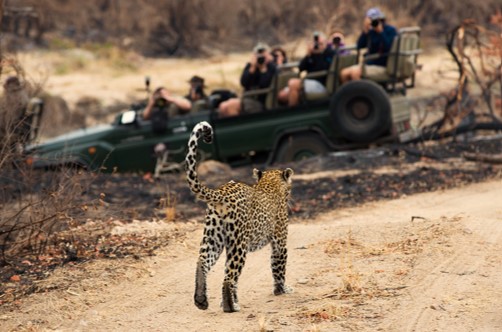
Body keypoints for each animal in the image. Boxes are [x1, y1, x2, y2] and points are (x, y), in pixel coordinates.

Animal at [185, 120, 294, 312]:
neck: (270, 183)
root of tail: (221, 192)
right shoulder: (280, 242)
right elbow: (278, 268)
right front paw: (281, 290)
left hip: (213, 237)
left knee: (202, 262)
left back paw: (201, 300)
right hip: (238, 243)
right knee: (229, 278)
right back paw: (231, 307)